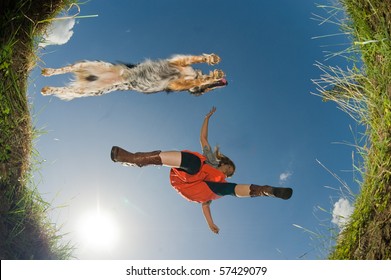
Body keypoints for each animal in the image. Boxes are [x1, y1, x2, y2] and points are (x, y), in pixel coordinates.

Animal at [41, 53, 228, 100]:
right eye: (208, 90)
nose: (226, 84)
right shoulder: (177, 62)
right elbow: (197, 59)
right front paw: (212, 61)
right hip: (86, 65)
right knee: (63, 69)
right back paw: (48, 72)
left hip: (87, 90)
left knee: (63, 89)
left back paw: (46, 86)